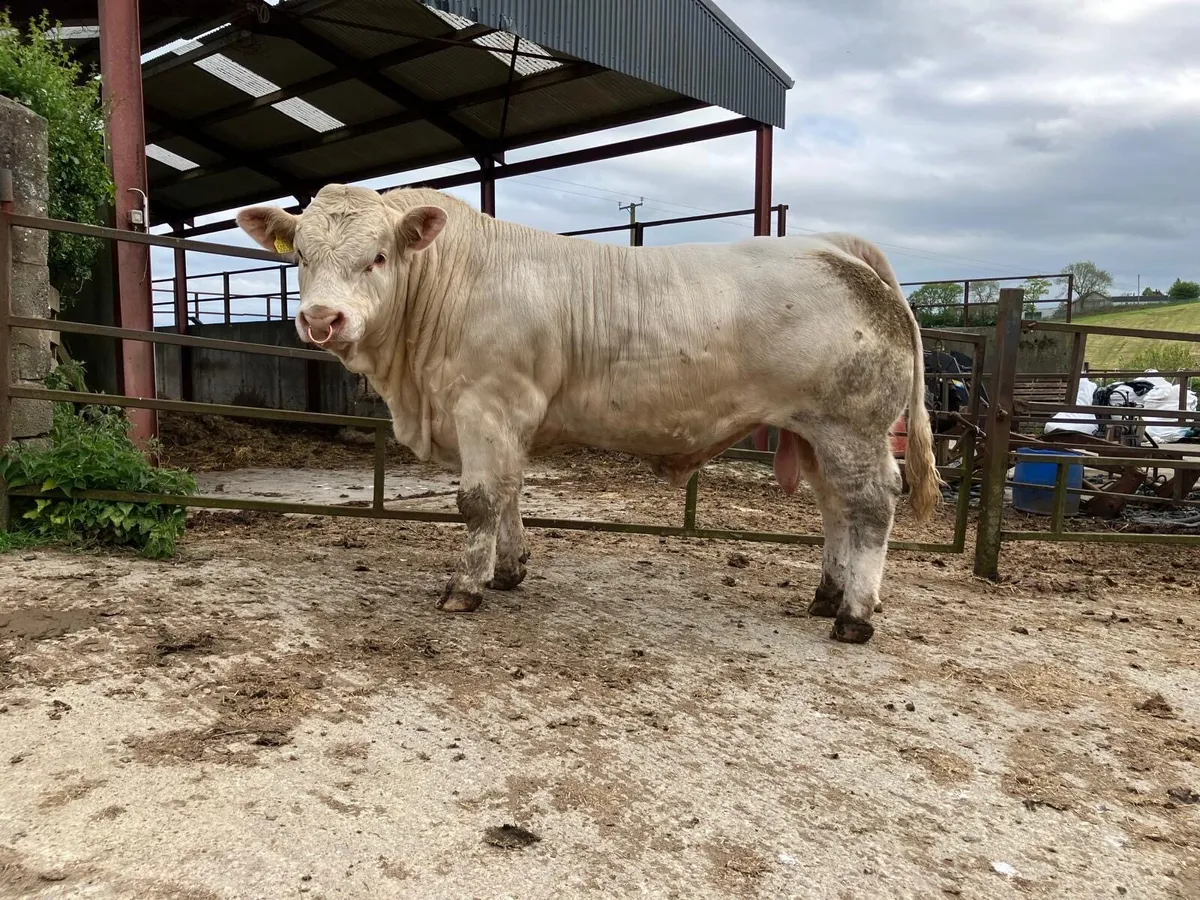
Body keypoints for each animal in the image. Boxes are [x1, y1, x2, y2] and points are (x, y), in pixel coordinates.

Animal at [236, 184, 940, 644]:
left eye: (377, 257)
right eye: (300, 256)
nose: (322, 319)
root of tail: (835, 249)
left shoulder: (488, 403)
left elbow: (479, 499)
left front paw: (465, 588)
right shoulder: (504, 419)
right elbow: (510, 493)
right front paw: (509, 571)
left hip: (852, 427)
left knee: (870, 505)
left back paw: (854, 616)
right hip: (814, 433)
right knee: (833, 508)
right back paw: (827, 594)